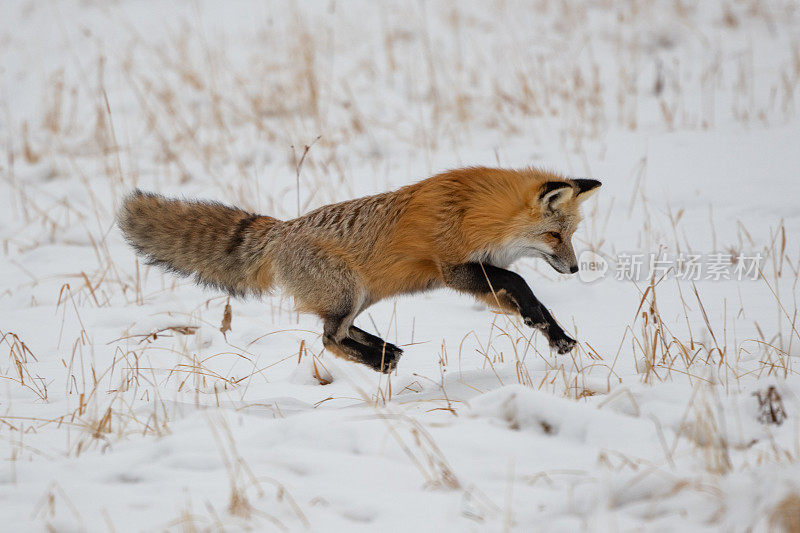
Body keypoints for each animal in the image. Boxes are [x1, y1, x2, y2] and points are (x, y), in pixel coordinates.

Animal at [120, 168, 600, 372]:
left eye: (571, 233)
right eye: (555, 236)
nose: (575, 268)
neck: (479, 211)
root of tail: (280, 229)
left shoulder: (481, 276)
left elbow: (529, 298)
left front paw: (554, 334)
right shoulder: (453, 268)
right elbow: (518, 280)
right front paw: (547, 327)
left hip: (361, 295)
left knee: (340, 331)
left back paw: (385, 350)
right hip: (347, 292)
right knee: (328, 339)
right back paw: (379, 360)